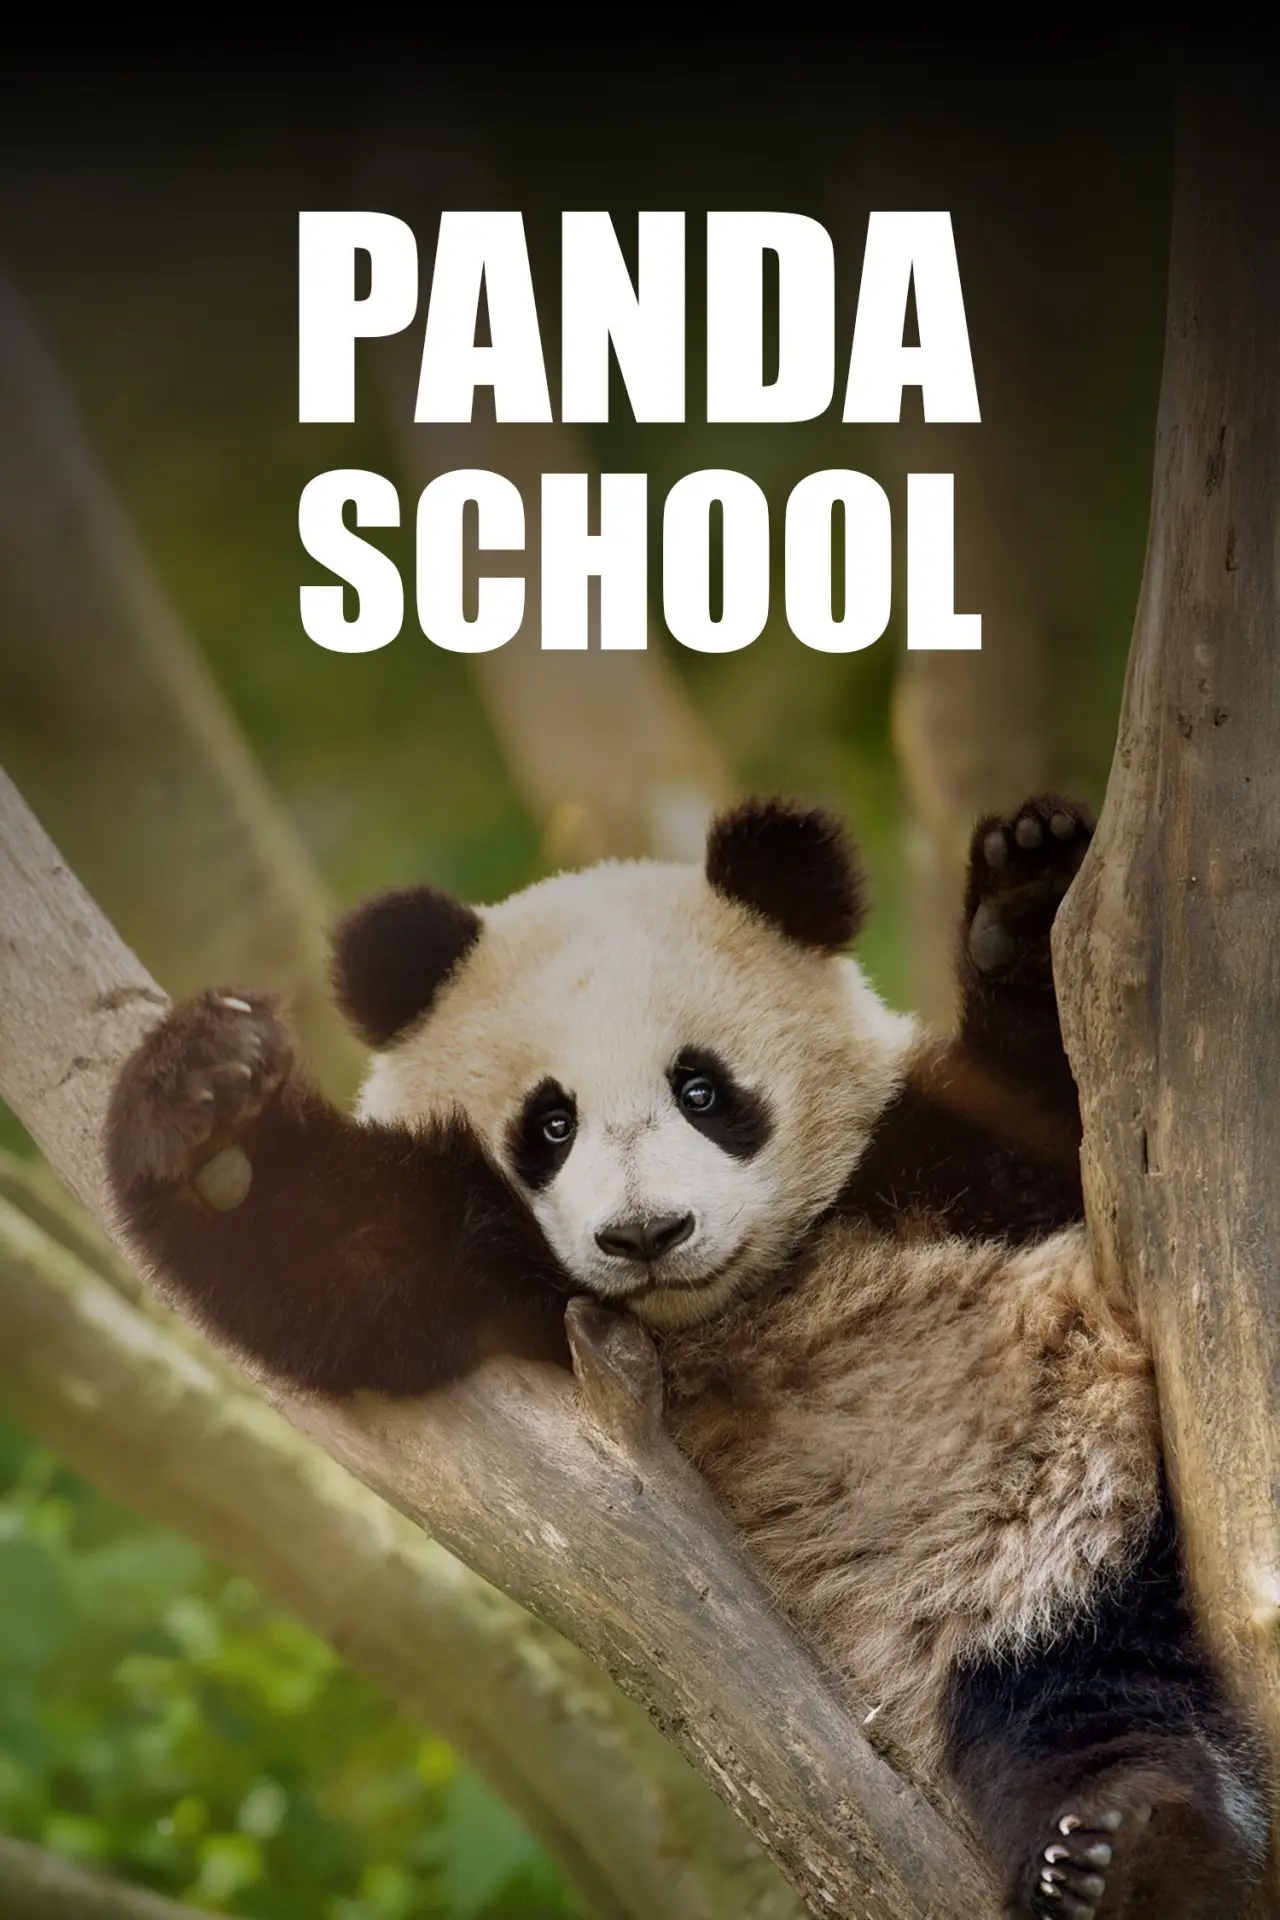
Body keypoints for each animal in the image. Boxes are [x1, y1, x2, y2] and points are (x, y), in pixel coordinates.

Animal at [106, 794, 1270, 1919]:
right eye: (551, 1123)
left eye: (702, 1090)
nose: (644, 1235)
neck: (732, 1302)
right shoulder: (490, 1273)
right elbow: (321, 1256)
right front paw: (204, 1087)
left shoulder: (924, 1158)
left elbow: (1054, 1106)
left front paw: (1027, 886)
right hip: (985, 1616)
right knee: (1079, 1710)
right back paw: (1124, 1851)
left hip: (1069, 1527)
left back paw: (1127, 1849)